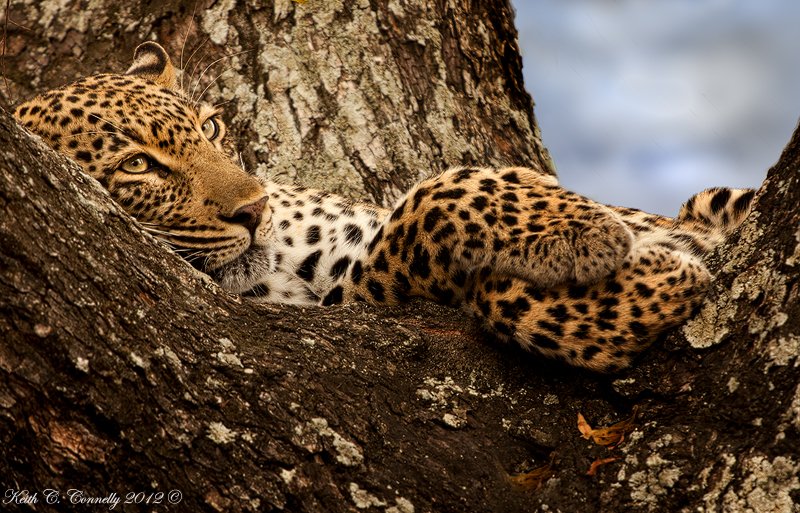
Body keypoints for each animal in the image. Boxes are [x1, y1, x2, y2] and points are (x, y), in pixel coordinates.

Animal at [14, 42, 757, 372]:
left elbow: (475, 180)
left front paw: (592, 227)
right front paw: (643, 276)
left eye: (213, 128)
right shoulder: (357, 294)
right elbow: (431, 209)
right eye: (137, 166)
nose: (253, 210)